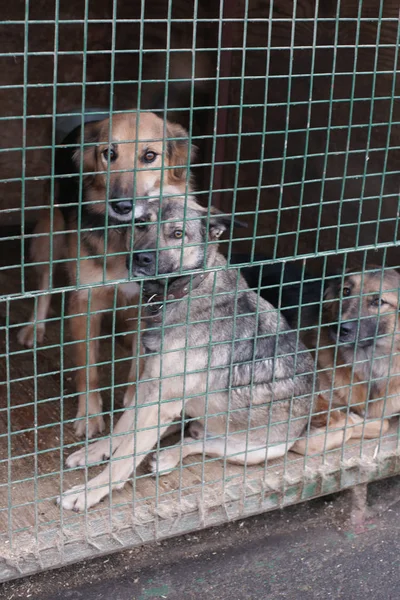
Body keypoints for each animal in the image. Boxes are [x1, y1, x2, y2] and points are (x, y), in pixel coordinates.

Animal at [18, 110, 196, 436]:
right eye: (109, 154)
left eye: (149, 155)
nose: (122, 206)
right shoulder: (85, 302)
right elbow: (88, 369)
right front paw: (89, 415)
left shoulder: (150, 301)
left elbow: (140, 360)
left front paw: (134, 399)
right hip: (50, 233)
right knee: (45, 282)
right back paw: (34, 326)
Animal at [58, 196, 316, 510]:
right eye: (141, 224)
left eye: (178, 234)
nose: (141, 258)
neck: (187, 291)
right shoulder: (150, 383)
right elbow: (123, 427)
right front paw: (97, 451)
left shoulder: (163, 400)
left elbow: (127, 455)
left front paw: (90, 491)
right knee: (184, 432)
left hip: (252, 450)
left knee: (197, 443)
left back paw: (168, 457)